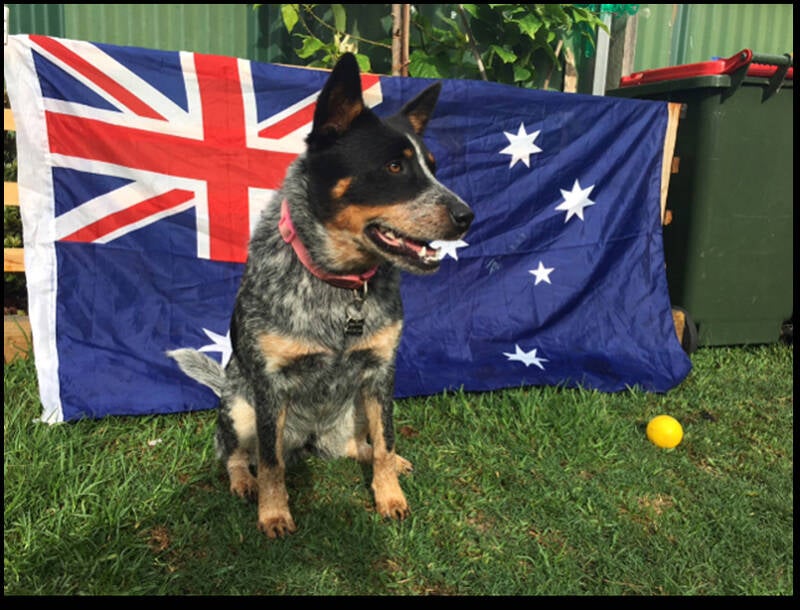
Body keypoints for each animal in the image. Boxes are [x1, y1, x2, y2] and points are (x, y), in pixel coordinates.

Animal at [168, 53, 473, 537]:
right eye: (394, 167)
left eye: (433, 166)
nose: (467, 216)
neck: (340, 285)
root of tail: (311, 439)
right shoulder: (270, 384)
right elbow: (270, 463)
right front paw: (274, 514)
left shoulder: (381, 374)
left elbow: (385, 442)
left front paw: (390, 497)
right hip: (240, 406)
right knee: (238, 453)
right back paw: (243, 482)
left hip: (354, 412)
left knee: (360, 446)